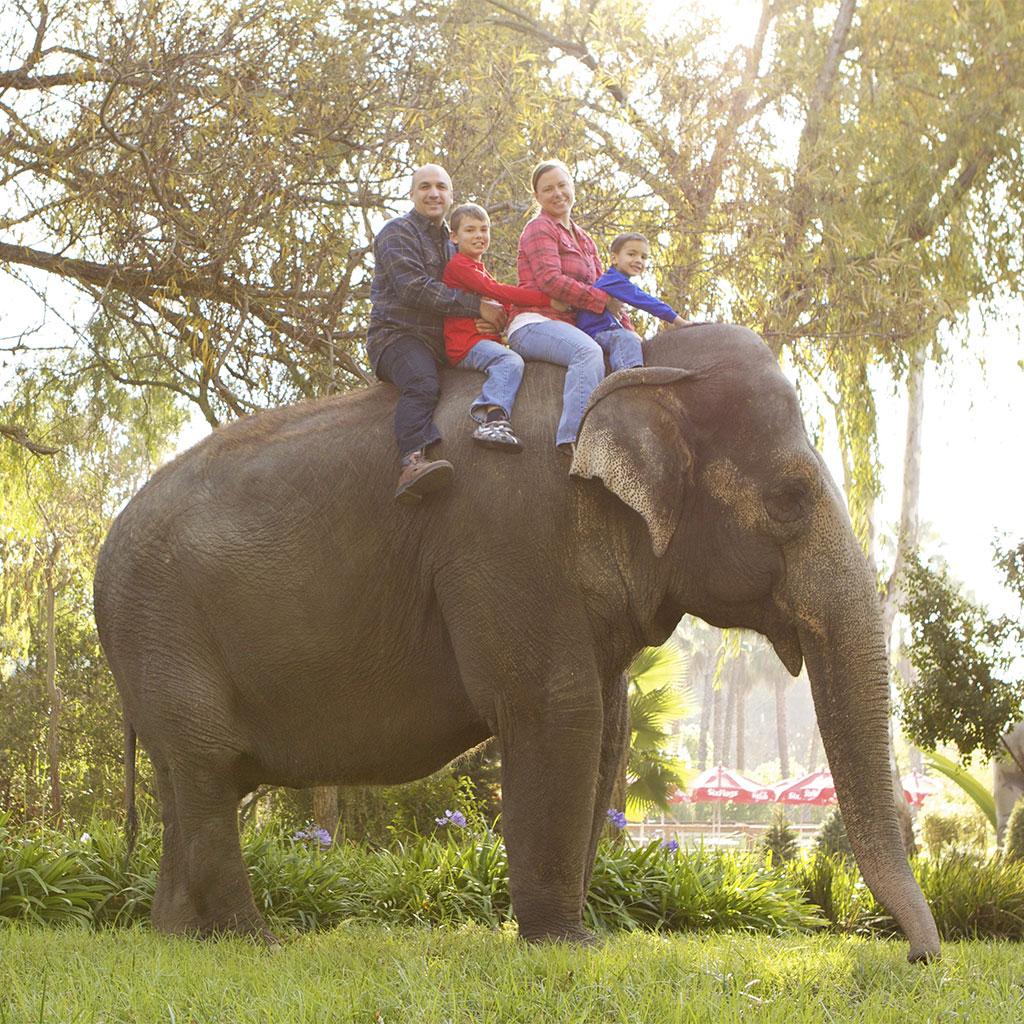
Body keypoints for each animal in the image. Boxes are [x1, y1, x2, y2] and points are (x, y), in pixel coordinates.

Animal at [93, 323, 940, 961]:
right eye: (791, 498)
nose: (917, 959)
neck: (638, 369)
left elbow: (610, 731)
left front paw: (578, 935)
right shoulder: (504, 538)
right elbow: (558, 712)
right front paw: (568, 946)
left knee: (188, 784)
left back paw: (179, 939)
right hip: (161, 631)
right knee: (207, 774)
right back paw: (257, 942)